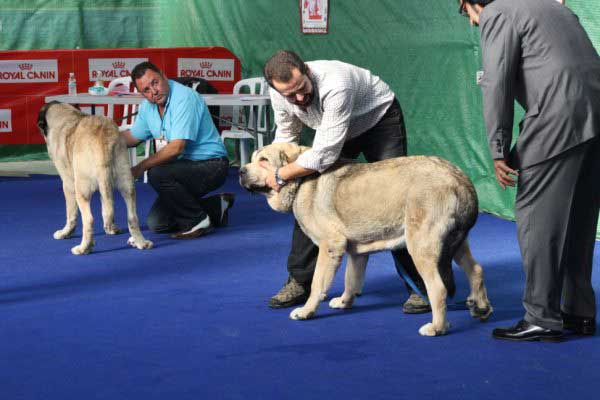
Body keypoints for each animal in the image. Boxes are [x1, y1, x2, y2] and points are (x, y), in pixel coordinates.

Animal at [37, 101, 154, 255]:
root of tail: (103, 139)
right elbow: (106, 208)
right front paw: (110, 228)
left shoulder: (68, 185)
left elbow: (71, 214)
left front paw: (65, 233)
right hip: (126, 183)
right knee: (132, 217)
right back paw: (141, 243)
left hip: (81, 190)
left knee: (89, 220)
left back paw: (83, 248)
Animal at [239, 142, 492, 336]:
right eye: (252, 159)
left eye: (263, 160)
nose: (241, 171)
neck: (301, 182)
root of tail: (459, 177)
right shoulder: (356, 252)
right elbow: (351, 280)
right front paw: (344, 302)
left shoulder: (330, 247)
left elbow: (317, 284)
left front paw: (306, 311)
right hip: (455, 244)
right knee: (476, 270)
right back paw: (481, 307)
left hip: (421, 247)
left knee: (438, 289)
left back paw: (437, 327)